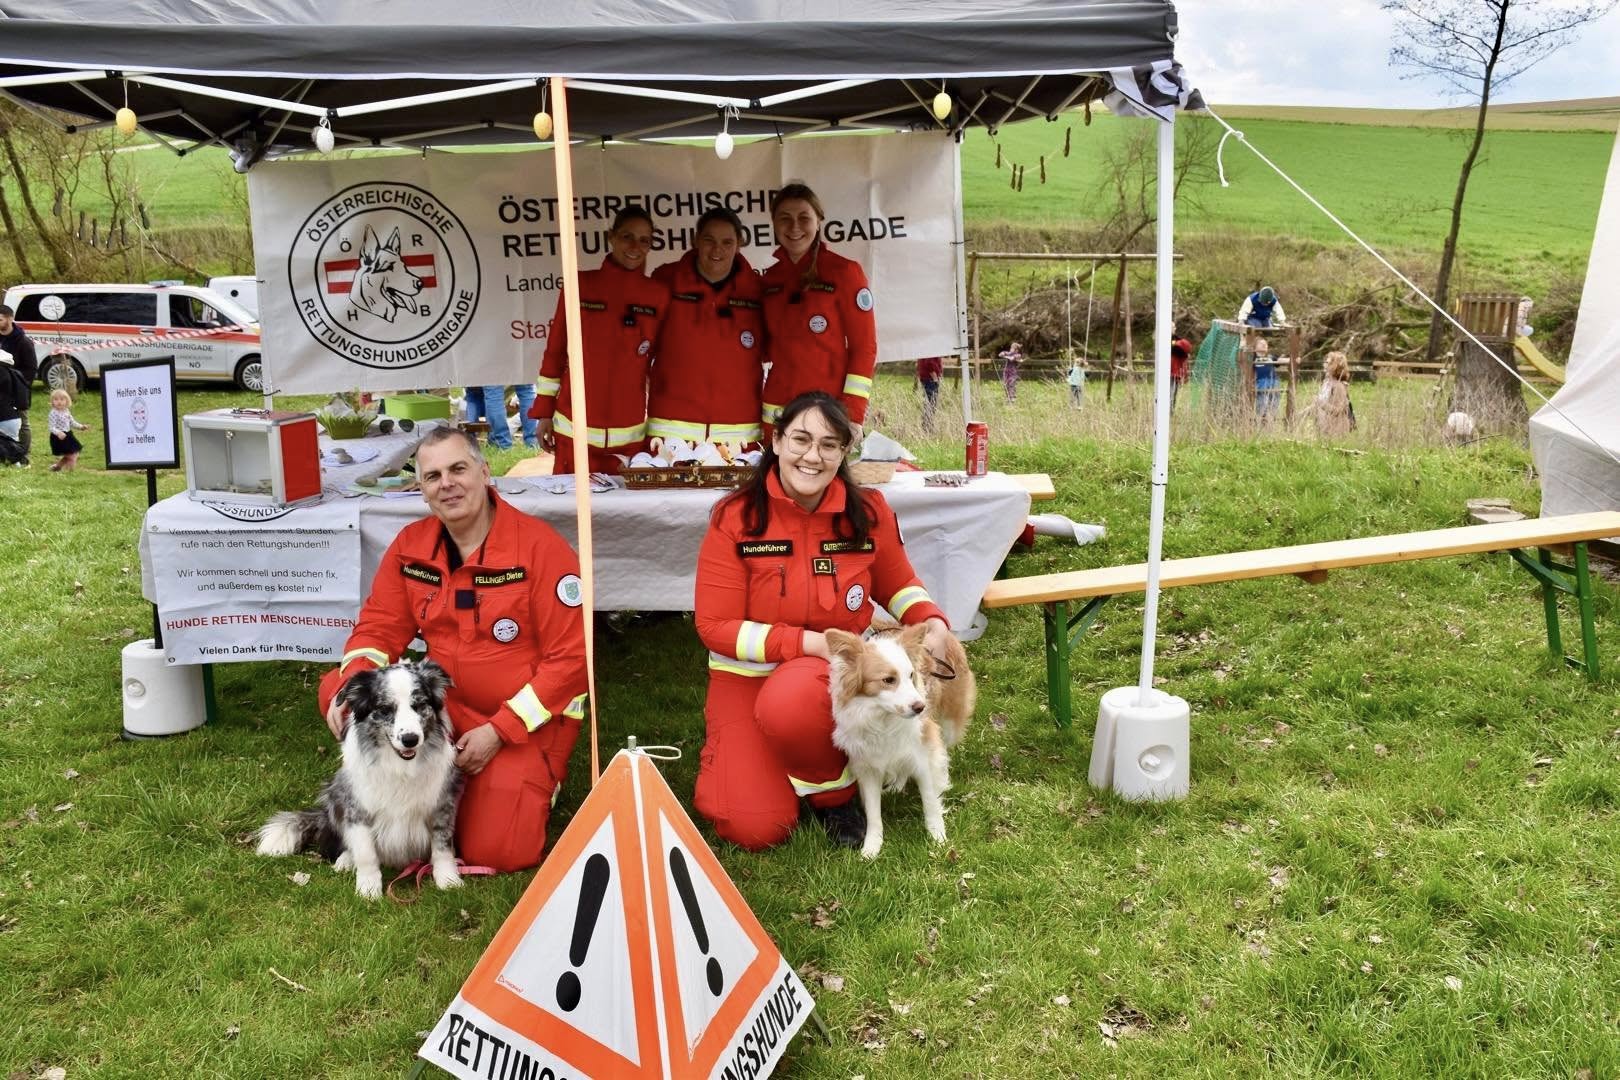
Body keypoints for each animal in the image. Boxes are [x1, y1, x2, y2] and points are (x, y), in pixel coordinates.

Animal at [256, 659, 463, 899]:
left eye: (420, 705)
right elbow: (366, 852)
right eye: (385, 709)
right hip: (335, 792)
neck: (400, 767)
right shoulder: (357, 808)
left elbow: (442, 846)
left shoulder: (442, 804)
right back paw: (346, 860)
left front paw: (448, 879)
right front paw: (368, 889)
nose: (410, 739)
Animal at [826, 623, 976, 858]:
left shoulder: (924, 755)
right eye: (888, 680)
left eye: (911, 675)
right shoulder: (868, 768)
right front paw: (872, 846)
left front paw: (938, 838)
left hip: (949, 724)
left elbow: (930, 801)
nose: (920, 707)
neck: (883, 719)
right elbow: (873, 813)